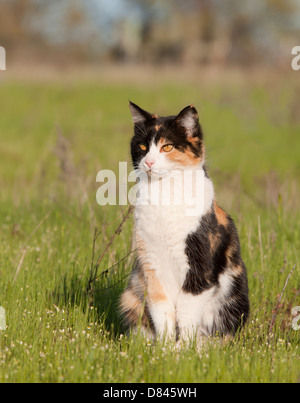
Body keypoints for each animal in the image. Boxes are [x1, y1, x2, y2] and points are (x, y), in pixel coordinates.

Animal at [119, 102, 248, 344]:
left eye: (167, 147)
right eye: (142, 145)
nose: (148, 162)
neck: (165, 194)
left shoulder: (200, 270)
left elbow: (187, 314)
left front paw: (183, 350)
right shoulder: (151, 265)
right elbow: (162, 310)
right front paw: (164, 348)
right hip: (131, 292)